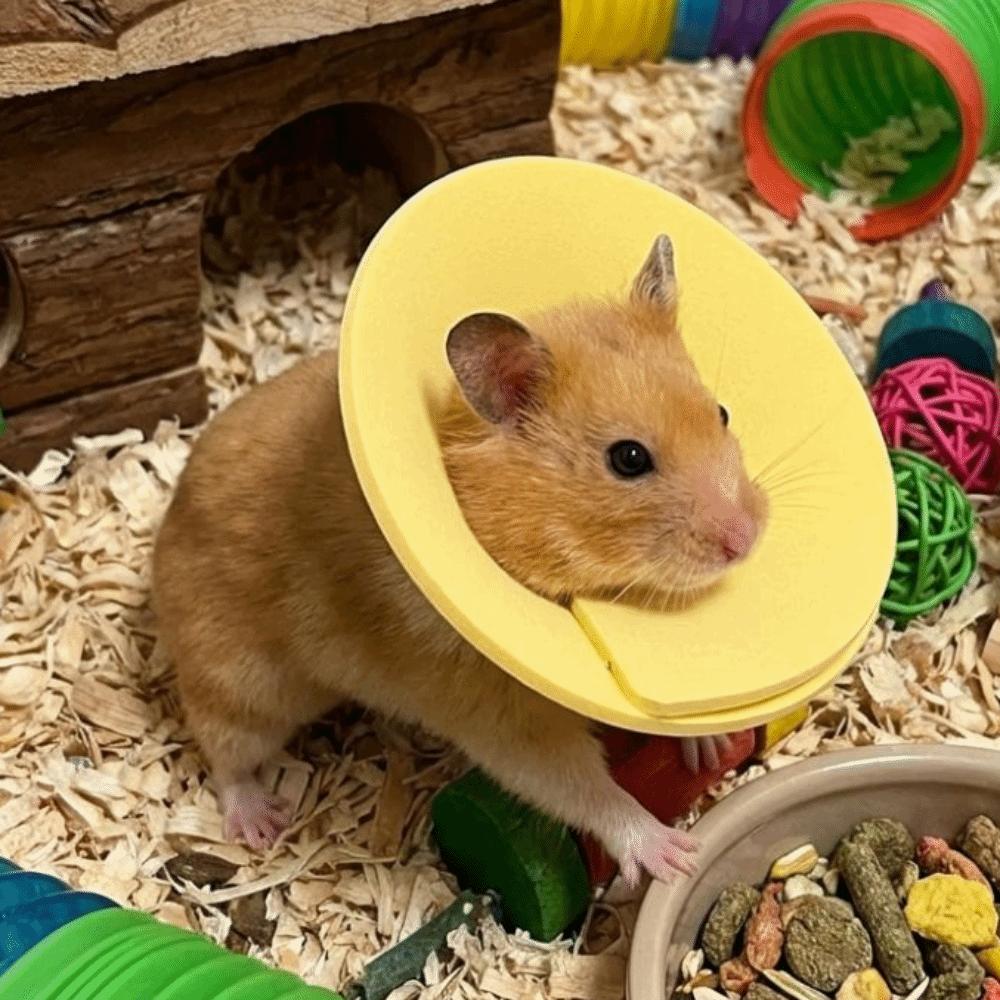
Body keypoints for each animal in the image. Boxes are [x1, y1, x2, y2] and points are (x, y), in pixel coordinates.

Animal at [151, 234, 767, 886]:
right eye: (628, 459)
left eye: (721, 413)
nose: (747, 536)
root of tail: (167, 522)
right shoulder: (500, 714)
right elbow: (579, 785)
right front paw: (675, 857)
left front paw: (708, 743)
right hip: (239, 679)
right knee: (222, 750)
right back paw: (259, 824)